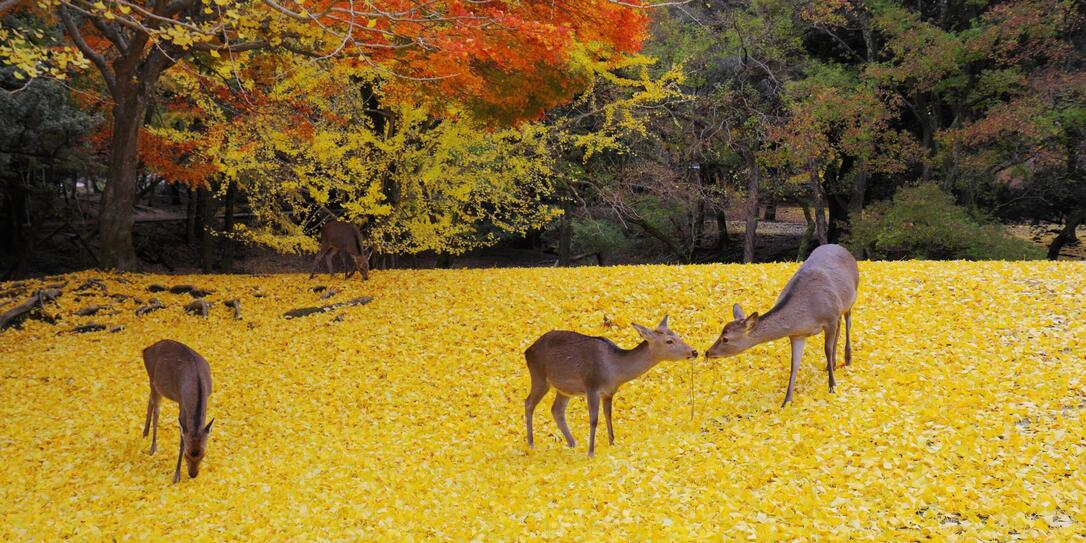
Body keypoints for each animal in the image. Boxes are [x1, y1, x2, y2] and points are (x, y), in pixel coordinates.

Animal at [142, 338, 213, 484]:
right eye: (186, 454)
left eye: (203, 454)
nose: (193, 474)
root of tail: (146, 349)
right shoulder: (181, 402)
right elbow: (181, 438)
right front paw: (176, 476)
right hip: (153, 380)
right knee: (156, 410)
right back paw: (152, 447)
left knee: (150, 400)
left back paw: (145, 433)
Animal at [523, 317, 695, 456]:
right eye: (669, 341)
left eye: (677, 335)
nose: (694, 352)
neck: (615, 371)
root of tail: (527, 351)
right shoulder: (591, 386)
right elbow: (594, 419)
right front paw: (591, 452)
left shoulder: (609, 392)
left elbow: (608, 415)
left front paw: (612, 444)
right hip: (539, 376)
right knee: (529, 402)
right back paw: (531, 444)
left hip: (564, 389)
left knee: (556, 410)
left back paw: (572, 444)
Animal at [708, 243, 860, 408]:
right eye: (721, 332)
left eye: (726, 338)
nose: (707, 352)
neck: (806, 315)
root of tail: (843, 248)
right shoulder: (797, 335)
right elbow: (794, 364)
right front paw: (786, 402)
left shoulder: (830, 317)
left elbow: (827, 349)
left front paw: (832, 387)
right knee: (839, 328)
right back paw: (832, 363)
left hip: (851, 298)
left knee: (847, 322)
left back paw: (847, 359)